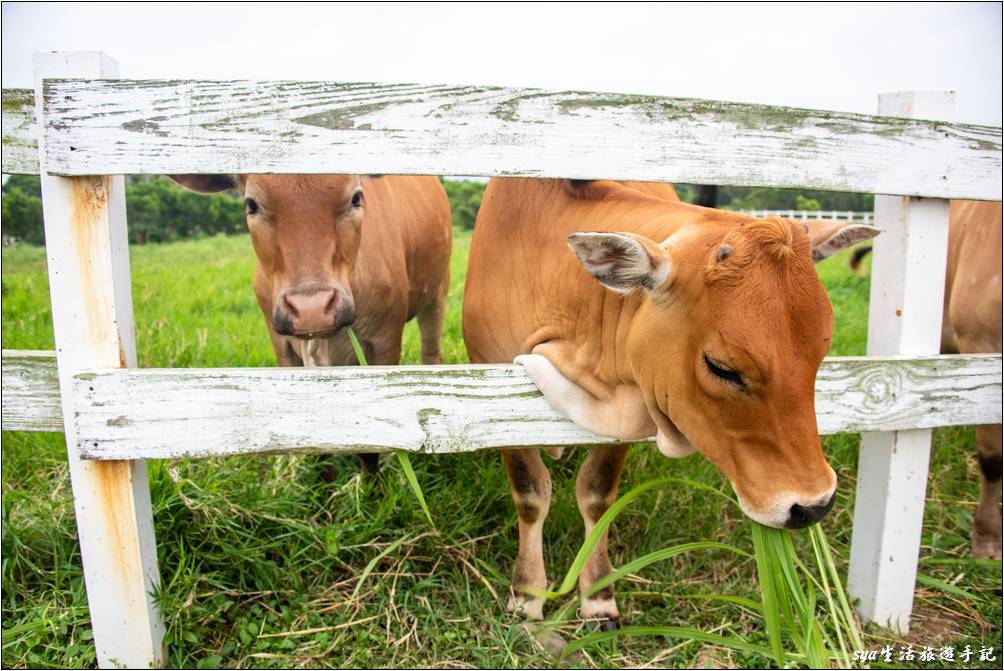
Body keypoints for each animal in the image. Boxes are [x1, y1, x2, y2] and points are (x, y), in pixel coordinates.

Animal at [174, 175, 453, 474]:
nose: (312, 309)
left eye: (356, 197)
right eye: (252, 204)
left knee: (431, 352)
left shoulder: (385, 342)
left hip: (437, 294)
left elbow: (371, 448)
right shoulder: (282, 347)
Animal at [461, 176, 879, 622]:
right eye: (722, 367)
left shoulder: (629, 399)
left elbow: (597, 495)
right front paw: (527, 594)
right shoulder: (495, 392)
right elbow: (530, 495)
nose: (814, 505)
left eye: (821, 353)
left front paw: (598, 593)